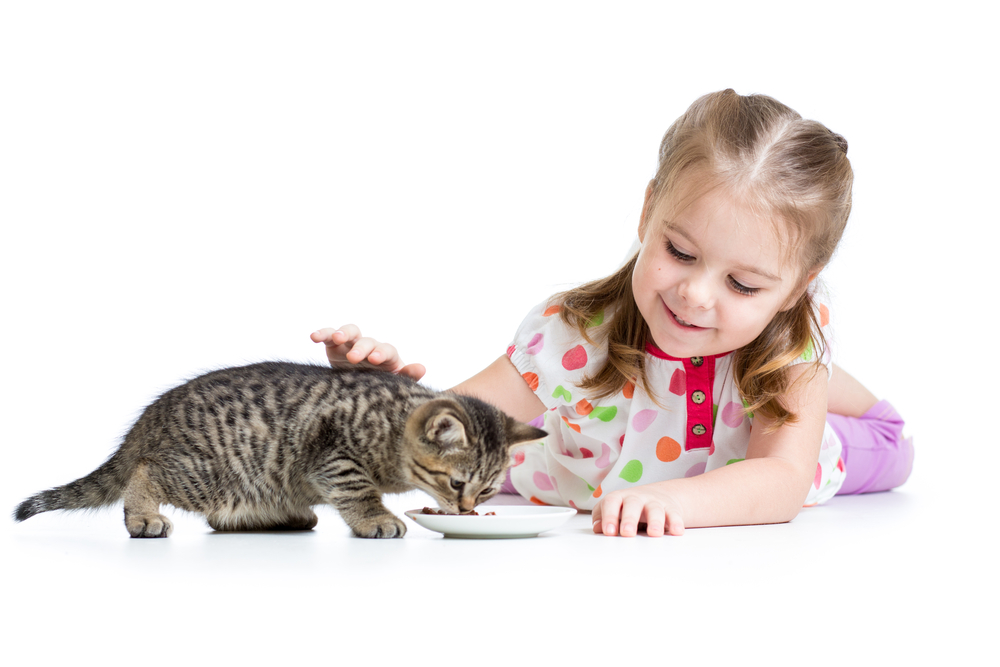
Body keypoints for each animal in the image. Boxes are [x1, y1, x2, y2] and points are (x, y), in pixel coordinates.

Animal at [13, 362, 548, 540]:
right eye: (456, 483)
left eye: (486, 492)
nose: (466, 508)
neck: (394, 429)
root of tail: (153, 414)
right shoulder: (333, 451)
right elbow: (358, 490)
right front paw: (377, 518)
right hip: (205, 470)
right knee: (145, 471)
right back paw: (144, 516)